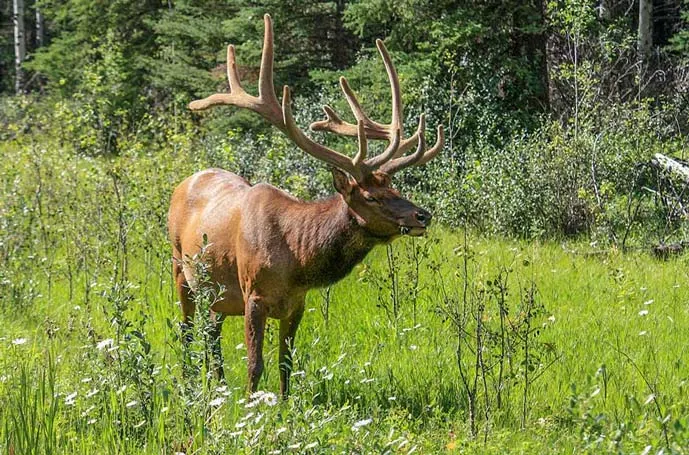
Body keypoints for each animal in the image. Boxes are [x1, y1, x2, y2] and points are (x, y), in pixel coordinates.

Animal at [169, 14, 444, 400]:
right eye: (371, 197)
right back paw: (190, 384)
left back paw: (219, 386)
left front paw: (285, 406)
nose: (422, 215)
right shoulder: (254, 295)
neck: (297, 260)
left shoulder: (297, 303)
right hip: (180, 268)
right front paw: (251, 406)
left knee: (211, 333)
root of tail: (186, 181)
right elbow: (255, 365)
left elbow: (286, 363)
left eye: (395, 186)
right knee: (187, 329)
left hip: (216, 293)